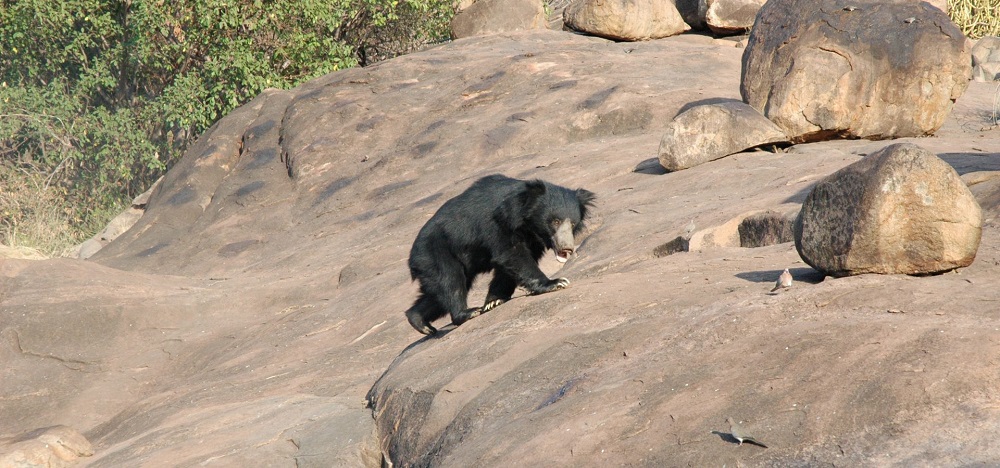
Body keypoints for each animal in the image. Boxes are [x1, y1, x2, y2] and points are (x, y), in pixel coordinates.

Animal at [406, 174, 592, 334]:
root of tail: (412, 258)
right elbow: (511, 254)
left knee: (438, 293)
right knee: (451, 281)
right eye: (555, 221)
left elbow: (511, 266)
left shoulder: (531, 238)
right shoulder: (496, 223)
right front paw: (556, 282)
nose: (567, 248)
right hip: (436, 253)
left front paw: (493, 301)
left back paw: (420, 322)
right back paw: (467, 313)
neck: (525, 221)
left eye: (573, 223)